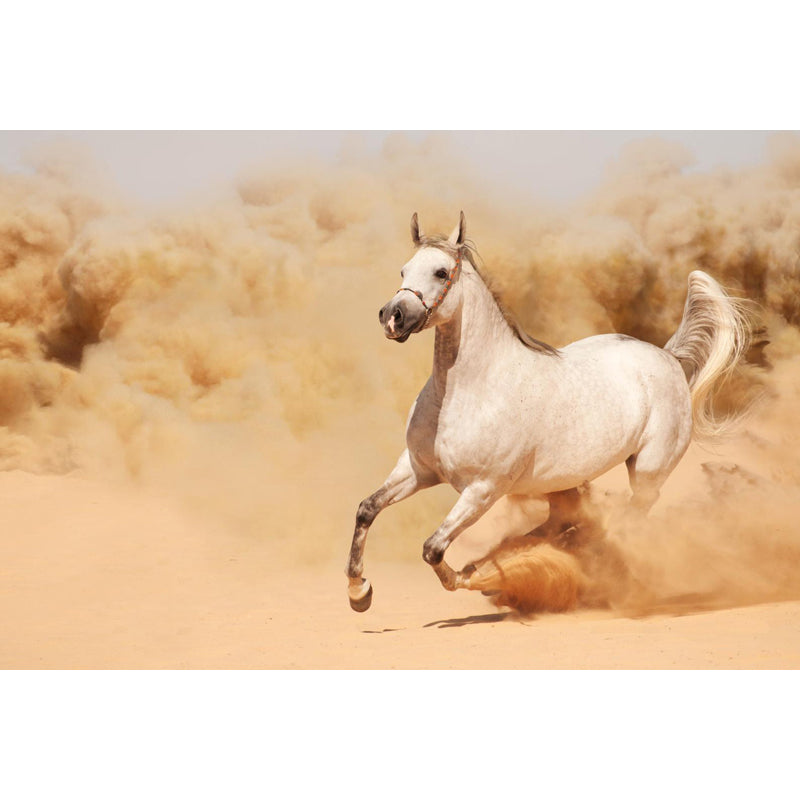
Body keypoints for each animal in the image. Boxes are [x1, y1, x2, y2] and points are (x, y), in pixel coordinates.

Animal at [346, 212, 750, 612]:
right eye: (404, 270)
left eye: (441, 272)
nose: (393, 317)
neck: (467, 393)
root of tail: (668, 358)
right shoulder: (417, 469)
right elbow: (367, 508)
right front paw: (359, 591)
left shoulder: (483, 490)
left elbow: (433, 549)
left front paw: (472, 576)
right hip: (565, 483)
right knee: (566, 523)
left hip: (648, 473)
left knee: (623, 523)